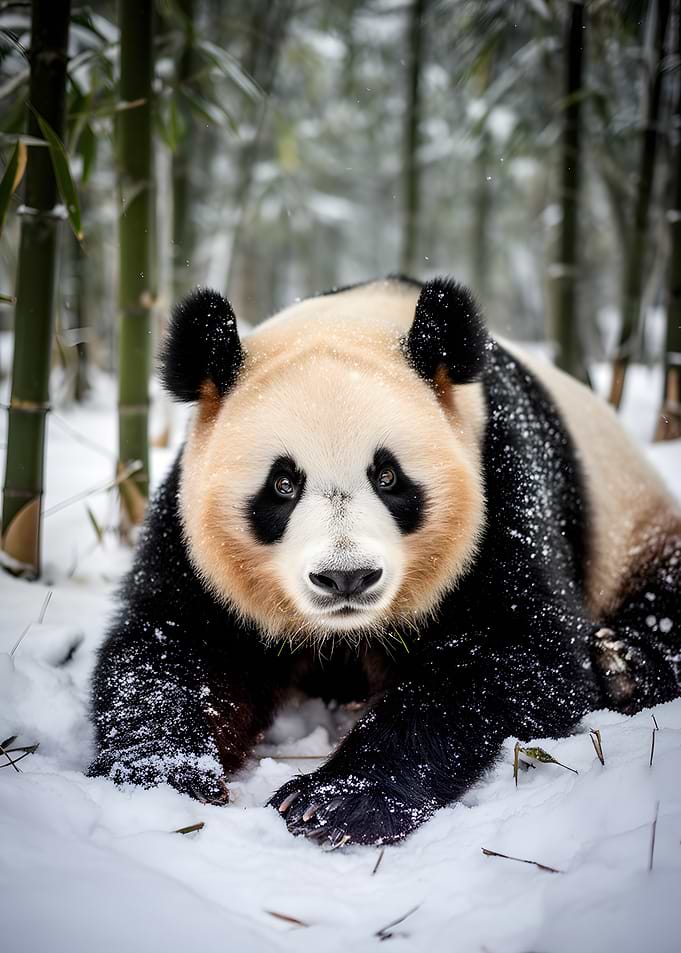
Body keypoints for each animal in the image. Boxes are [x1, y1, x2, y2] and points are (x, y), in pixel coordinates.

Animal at [89, 276, 681, 847]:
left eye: (389, 477)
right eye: (283, 484)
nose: (345, 577)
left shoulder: (502, 486)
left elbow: (510, 653)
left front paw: (333, 800)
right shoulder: (189, 528)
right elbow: (174, 643)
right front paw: (163, 776)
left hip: (638, 520)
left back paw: (621, 664)